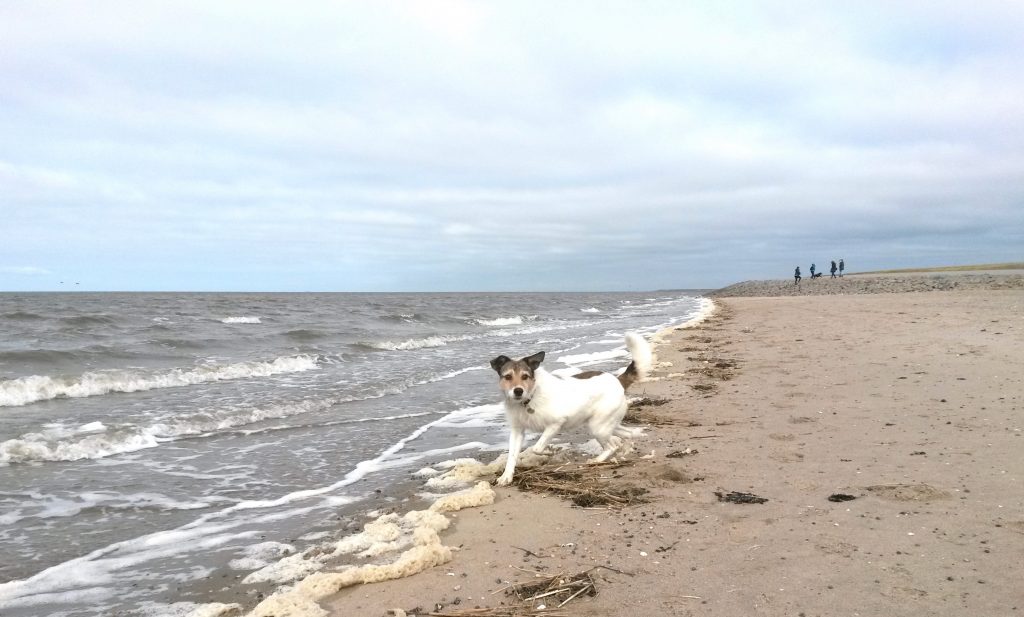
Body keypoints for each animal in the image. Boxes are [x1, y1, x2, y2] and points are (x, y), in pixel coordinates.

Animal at [489, 333, 651, 487]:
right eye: (508, 376)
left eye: (525, 376)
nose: (518, 391)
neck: (530, 397)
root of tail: (617, 380)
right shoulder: (517, 431)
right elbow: (512, 456)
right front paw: (506, 476)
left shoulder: (555, 424)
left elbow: (537, 448)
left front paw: (548, 451)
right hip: (607, 423)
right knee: (626, 434)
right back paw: (632, 441)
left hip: (597, 427)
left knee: (612, 446)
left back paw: (597, 459)